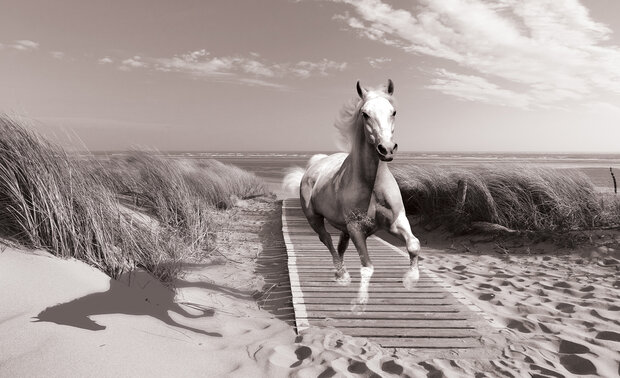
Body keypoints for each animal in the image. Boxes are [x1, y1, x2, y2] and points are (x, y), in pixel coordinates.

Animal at [284, 79, 422, 310]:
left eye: (393, 111)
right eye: (365, 114)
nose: (386, 149)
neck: (372, 184)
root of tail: (314, 165)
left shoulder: (396, 221)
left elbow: (413, 244)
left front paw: (411, 279)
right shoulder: (356, 228)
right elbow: (367, 266)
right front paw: (361, 302)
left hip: (343, 227)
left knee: (340, 246)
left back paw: (340, 273)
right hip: (315, 219)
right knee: (327, 241)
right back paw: (342, 275)